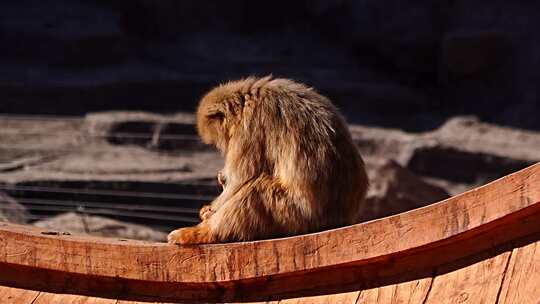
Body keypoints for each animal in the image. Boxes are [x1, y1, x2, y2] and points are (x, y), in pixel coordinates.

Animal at [169, 76, 370, 245]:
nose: (222, 149)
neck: (247, 99)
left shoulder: (250, 127)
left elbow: (241, 178)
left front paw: (210, 211)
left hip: (295, 214)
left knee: (257, 190)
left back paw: (201, 233)